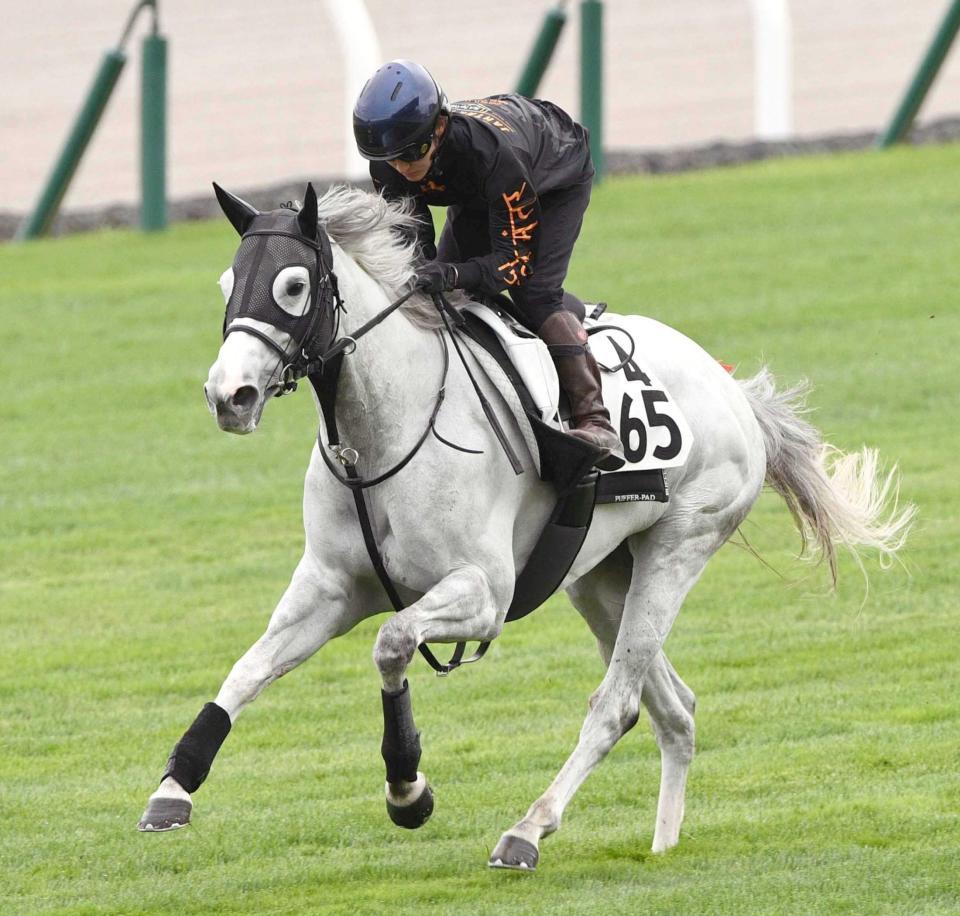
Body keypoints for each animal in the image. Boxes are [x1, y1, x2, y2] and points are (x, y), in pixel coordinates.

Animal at [139, 182, 912, 868]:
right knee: (672, 706)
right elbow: (248, 668)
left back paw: (528, 831)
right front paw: (174, 787)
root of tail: (736, 391)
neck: (385, 431)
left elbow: (391, 643)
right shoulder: (331, 587)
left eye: (294, 286)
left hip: (677, 548)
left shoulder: (484, 593)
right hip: (599, 575)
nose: (229, 396)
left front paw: (407, 788)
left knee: (618, 703)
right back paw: (661, 843)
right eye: (227, 282)